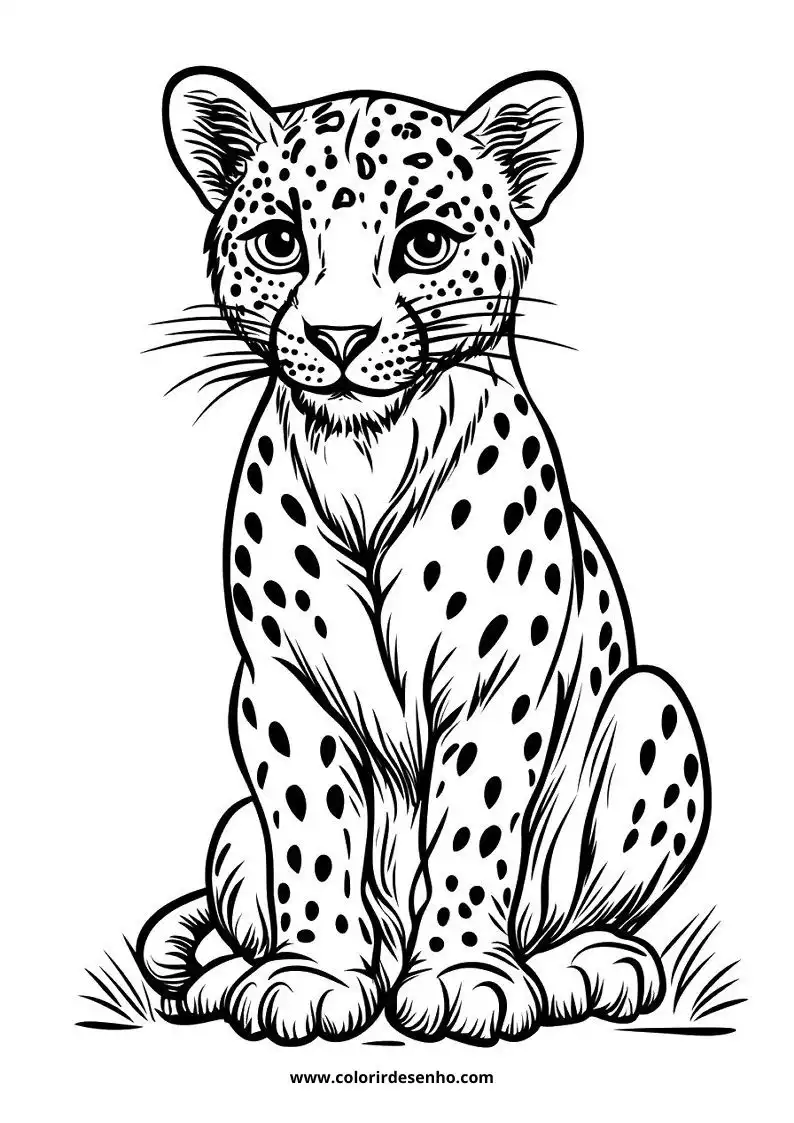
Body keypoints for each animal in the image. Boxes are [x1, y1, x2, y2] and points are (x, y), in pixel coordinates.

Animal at [137, 66, 711, 1046]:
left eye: (425, 243)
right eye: (280, 241)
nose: (338, 337)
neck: (368, 456)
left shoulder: (497, 682)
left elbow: (473, 823)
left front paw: (463, 975)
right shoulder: (281, 685)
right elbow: (311, 833)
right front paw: (310, 975)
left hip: (655, 709)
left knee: (583, 910)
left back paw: (584, 967)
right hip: (235, 826)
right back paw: (229, 973)